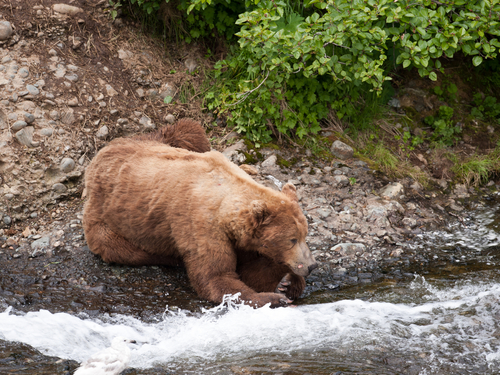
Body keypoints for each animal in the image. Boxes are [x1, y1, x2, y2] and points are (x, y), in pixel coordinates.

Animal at [82, 132, 316, 308]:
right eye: (292, 239)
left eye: (304, 235)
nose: (312, 266)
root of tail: (97, 158)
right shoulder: (202, 224)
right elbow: (217, 277)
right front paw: (275, 297)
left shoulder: (243, 238)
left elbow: (253, 270)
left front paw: (287, 282)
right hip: (105, 218)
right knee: (123, 249)